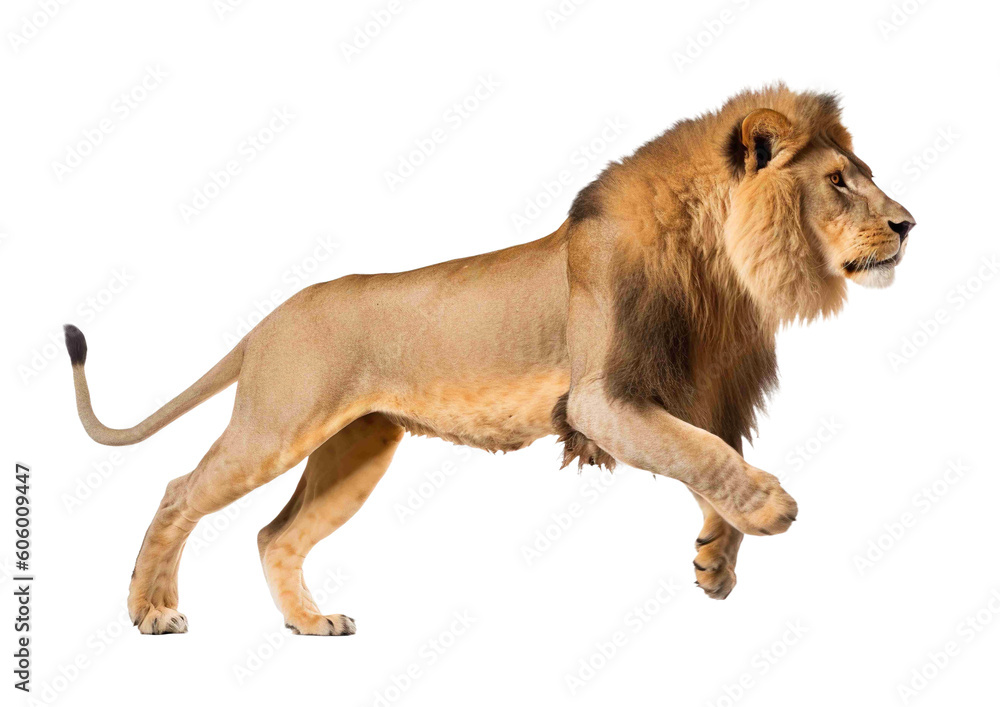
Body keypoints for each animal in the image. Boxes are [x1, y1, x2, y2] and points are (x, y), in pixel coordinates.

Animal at [64, 84, 914, 635]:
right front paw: (770, 508)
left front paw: (717, 558)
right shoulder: (600, 400)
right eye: (839, 182)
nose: (910, 223)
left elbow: (707, 450)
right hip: (278, 423)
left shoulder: (694, 388)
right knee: (179, 491)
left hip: (356, 448)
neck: (723, 266)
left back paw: (309, 622)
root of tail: (271, 319)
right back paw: (150, 609)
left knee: (277, 535)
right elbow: (701, 452)